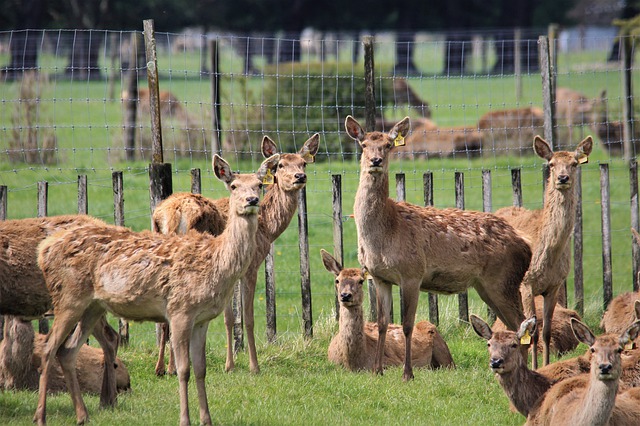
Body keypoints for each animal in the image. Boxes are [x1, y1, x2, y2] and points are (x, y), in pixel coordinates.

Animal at [33, 154, 279, 426]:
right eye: (233, 186)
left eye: (259, 184)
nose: (252, 200)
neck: (215, 262)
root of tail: (44, 250)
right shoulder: (180, 310)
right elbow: (184, 370)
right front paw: (185, 419)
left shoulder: (202, 319)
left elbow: (201, 369)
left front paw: (206, 419)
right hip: (68, 298)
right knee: (48, 348)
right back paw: (41, 416)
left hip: (92, 306)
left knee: (67, 352)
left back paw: (82, 415)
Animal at [152, 134, 319, 375]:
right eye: (280, 165)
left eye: (303, 163)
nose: (300, 176)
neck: (267, 228)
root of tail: (172, 213)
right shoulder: (250, 266)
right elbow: (246, 317)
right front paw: (253, 365)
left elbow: (230, 318)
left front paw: (230, 364)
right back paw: (173, 367)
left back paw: (161, 367)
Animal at [320, 249, 454, 371]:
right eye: (337, 280)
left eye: (361, 281)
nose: (345, 295)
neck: (354, 362)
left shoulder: (393, 363)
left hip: (444, 354)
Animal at [345, 115, 531, 381]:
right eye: (364, 145)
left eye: (388, 145)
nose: (376, 161)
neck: (384, 234)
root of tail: (526, 245)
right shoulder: (380, 277)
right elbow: (382, 323)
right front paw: (377, 371)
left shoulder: (412, 273)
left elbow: (407, 325)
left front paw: (408, 374)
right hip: (487, 285)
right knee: (514, 325)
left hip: (504, 279)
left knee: (523, 324)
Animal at [495, 135, 593, 368]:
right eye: (551, 164)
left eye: (574, 163)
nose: (563, 178)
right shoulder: (526, 284)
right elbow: (533, 333)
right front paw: (534, 367)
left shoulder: (555, 285)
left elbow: (547, 332)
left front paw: (546, 365)